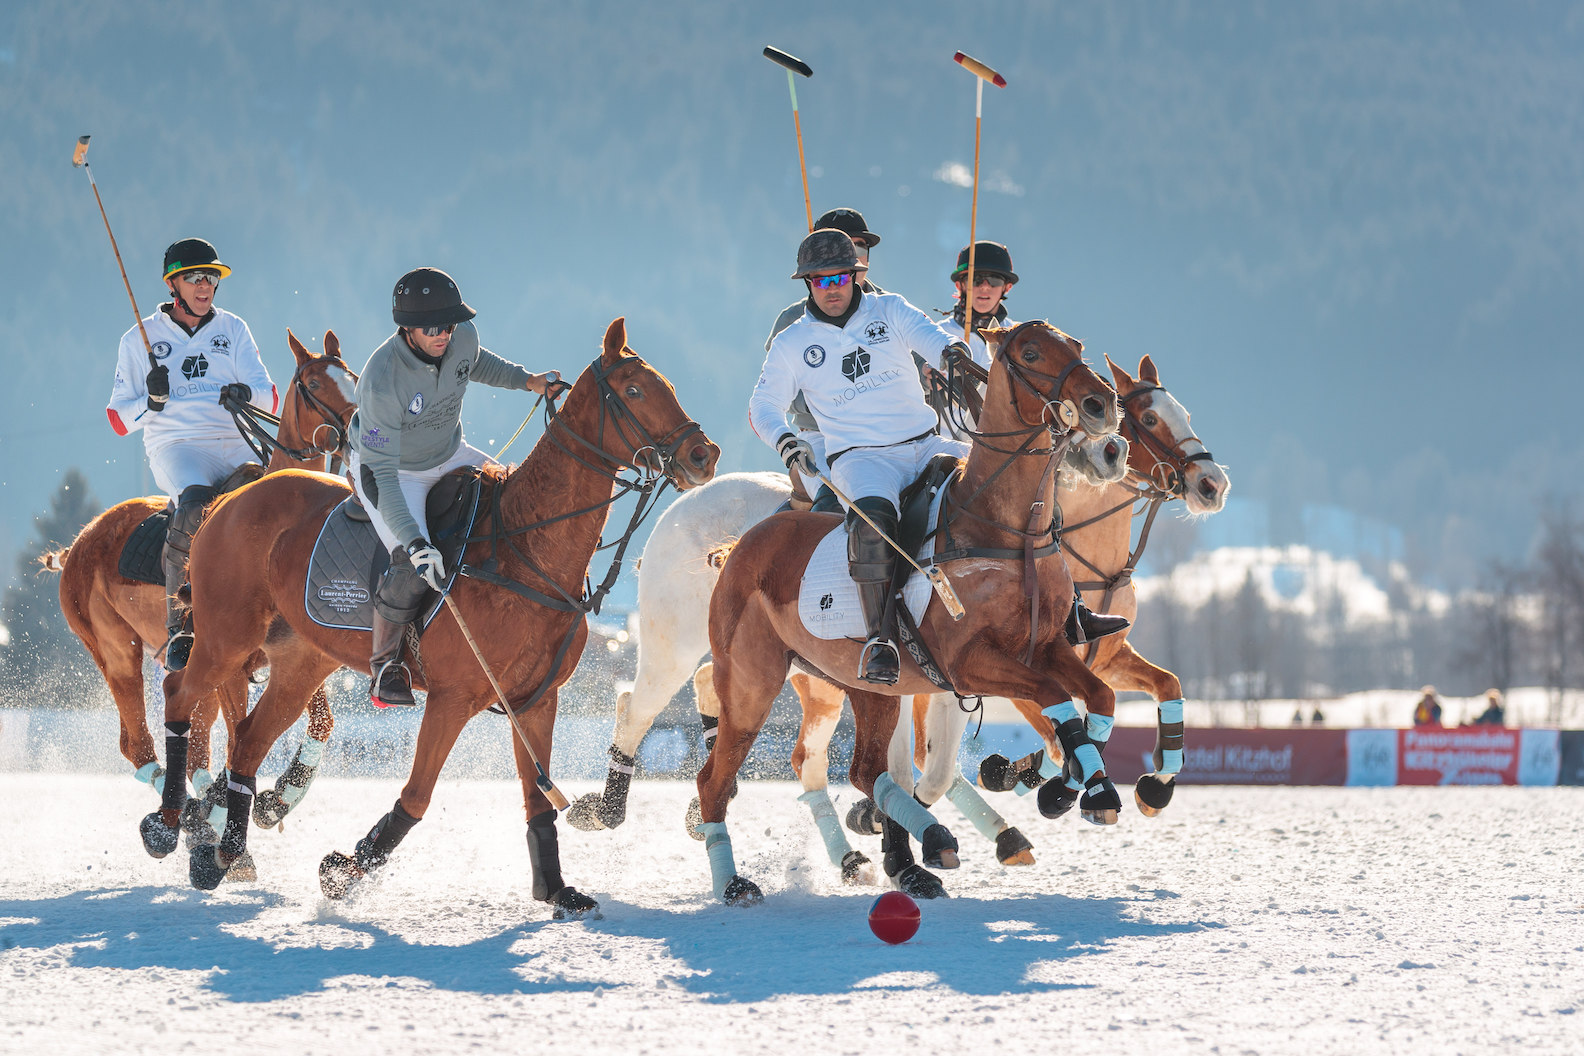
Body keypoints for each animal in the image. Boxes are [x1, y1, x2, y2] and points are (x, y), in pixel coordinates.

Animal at [44, 330, 354, 816]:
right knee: (139, 743)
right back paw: (192, 812)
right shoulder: (234, 659)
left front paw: (280, 797)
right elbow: (240, 732)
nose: (356, 428)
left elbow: (320, 719)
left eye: (354, 377)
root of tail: (78, 542)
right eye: (315, 383)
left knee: (192, 741)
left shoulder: (285, 649)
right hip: (115, 648)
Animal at [148, 319, 719, 918]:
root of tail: (228, 500)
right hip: (227, 637)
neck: (525, 551)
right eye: (633, 390)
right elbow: (418, 795)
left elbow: (538, 800)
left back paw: (226, 854)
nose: (703, 455)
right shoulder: (452, 697)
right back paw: (168, 827)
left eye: (667, 385)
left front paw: (558, 889)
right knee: (180, 695)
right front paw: (346, 870)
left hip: (302, 660)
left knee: (249, 739)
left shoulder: (535, 700)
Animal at [700, 319, 1121, 899]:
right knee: (715, 779)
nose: (1102, 404)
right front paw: (1063, 790)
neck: (1007, 530)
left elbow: (1099, 696)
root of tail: (742, 543)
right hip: (749, 682)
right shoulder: (967, 663)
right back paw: (735, 884)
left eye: (1075, 345)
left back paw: (914, 842)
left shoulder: (1044, 646)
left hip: (866, 686)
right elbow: (1056, 699)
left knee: (864, 769)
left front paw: (1083, 791)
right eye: (1031, 352)